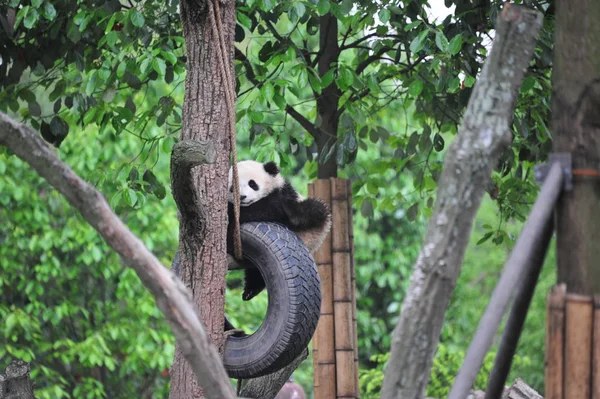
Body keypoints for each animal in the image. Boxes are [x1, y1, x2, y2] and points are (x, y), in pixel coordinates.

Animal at [227, 161, 332, 302]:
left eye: (252, 184)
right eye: (232, 188)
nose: (242, 197)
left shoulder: (283, 192)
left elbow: (271, 206)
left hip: (314, 224)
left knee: (315, 209)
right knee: (255, 274)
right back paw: (250, 291)